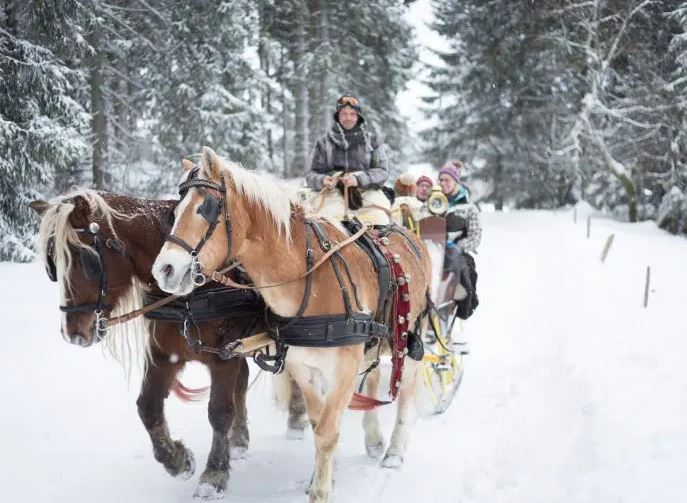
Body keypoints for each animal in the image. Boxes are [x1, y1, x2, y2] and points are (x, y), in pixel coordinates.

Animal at [31, 188, 270, 499]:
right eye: (52, 265)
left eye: (86, 259)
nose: (73, 332)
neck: (190, 292)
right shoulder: (164, 355)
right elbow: (147, 407)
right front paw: (177, 460)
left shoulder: (223, 357)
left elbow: (219, 411)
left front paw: (214, 474)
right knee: (242, 383)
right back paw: (239, 439)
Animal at [152, 147, 432, 503]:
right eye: (175, 212)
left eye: (206, 207)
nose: (164, 270)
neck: (310, 280)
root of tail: (406, 234)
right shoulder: (304, 367)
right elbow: (318, 422)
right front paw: (321, 476)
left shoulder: (342, 367)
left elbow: (327, 430)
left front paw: (321, 490)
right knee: (371, 381)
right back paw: (373, 440)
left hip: (408, 341)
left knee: (405, 392)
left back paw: (394, 451)